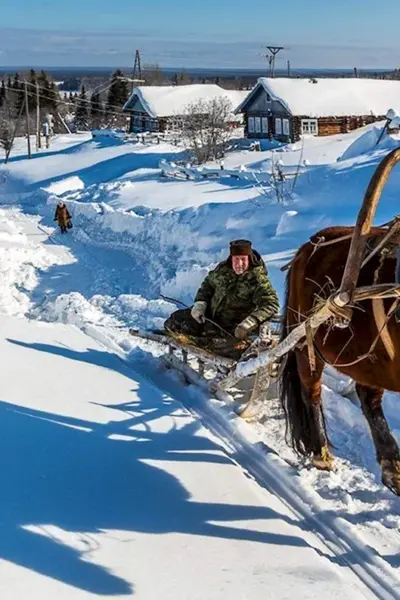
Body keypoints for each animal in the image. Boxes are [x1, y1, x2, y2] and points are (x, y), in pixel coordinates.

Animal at [280, 223, 400, 494]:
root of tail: (306, 247)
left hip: (367, 361)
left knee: (369, 399)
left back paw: (392, 468)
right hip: (307, 344)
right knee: (311, 394)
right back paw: (321, 453)